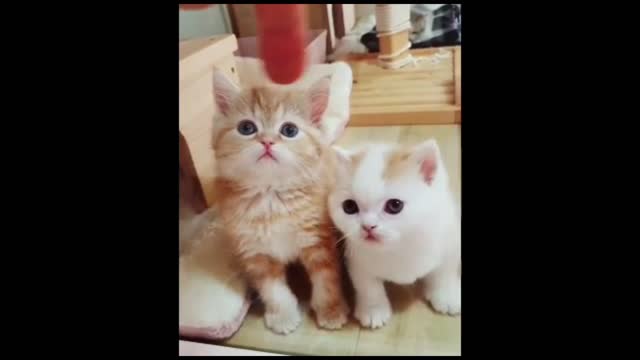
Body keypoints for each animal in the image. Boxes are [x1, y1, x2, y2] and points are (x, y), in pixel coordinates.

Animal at [210, 70, 350, 334]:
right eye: (246, 128)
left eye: (289, 130)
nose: (267, 141)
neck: (271, 197)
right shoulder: (255, 252)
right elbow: (273, 289)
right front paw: (283, 314)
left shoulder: (318, 238)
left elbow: (326, 278)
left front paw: (331, 310)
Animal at [330, 140, 460, 330]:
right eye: (349, 207)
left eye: (395, 205)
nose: (368, 226)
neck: (400, 245)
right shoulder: (356, 257)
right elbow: (368, 286)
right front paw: (374, 309)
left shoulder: (449, 239)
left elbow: (444, 272)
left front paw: (447, 295)